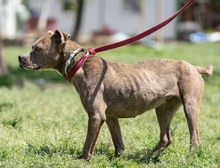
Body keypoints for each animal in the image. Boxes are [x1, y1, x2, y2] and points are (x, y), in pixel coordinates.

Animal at [18, 29, 213, 160]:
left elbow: (88, 144)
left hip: (190, 107)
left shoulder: (96, 116)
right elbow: (117, 142)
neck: (79, 63)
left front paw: (83, 160)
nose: (20, 57)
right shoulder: (110, 117)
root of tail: (194, 67)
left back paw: (190, 157)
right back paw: (148, 157)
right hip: (163, 110)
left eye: (37, 49)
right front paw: (117, 159)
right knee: (166, 137)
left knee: (194, 138)